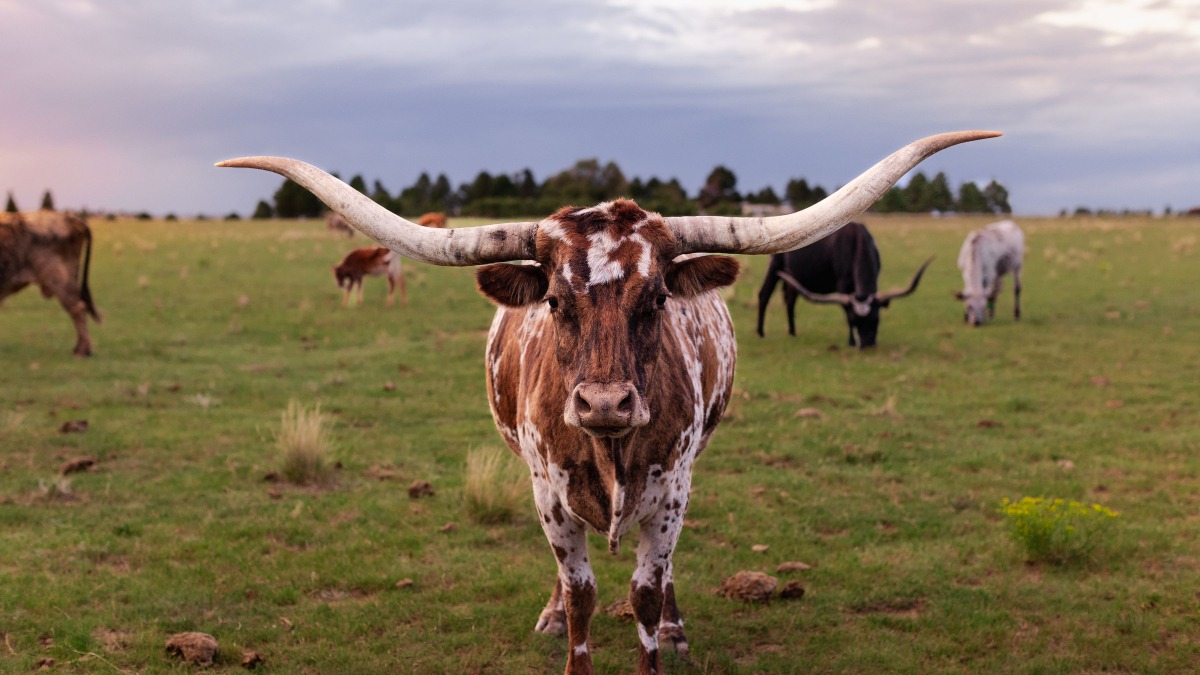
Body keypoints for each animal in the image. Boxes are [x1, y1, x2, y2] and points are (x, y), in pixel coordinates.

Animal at [755, 222, 933, 348]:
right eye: (854, 321)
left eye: (876, 319)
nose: (867, 345)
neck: (857, 242)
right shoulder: (842, 286)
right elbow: (845, 311)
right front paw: (851, 342)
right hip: (775, 267)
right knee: (764, 294)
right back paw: (760, 333)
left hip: (793, 276)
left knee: (790, 300)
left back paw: (792, 332)